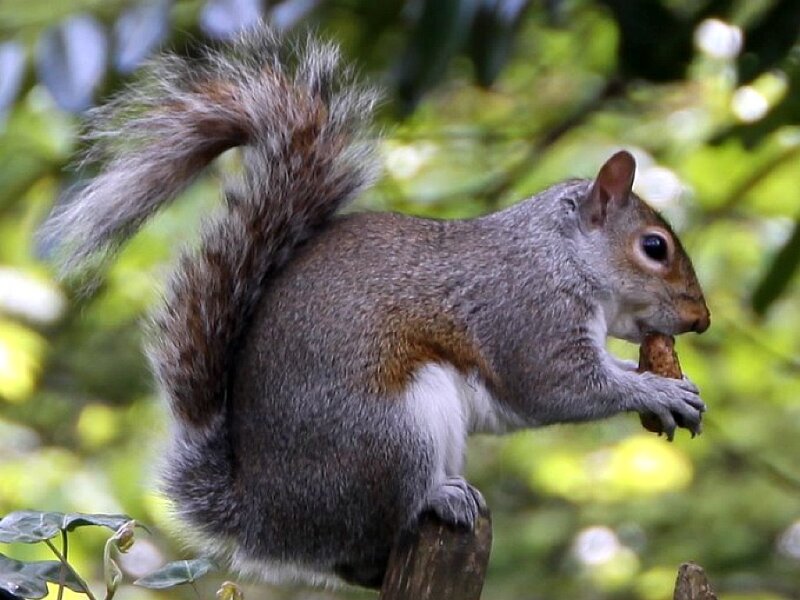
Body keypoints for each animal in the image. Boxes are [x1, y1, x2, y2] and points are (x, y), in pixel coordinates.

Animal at [41, 26, 710, 590]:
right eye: (654, 247)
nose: (700, 320)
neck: (561, 253)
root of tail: (262, 515)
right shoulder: (527, 312)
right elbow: (561, 387)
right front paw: (658, 391)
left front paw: (671, 385)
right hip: (389, 435)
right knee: (374, 523)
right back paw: (439, 499)